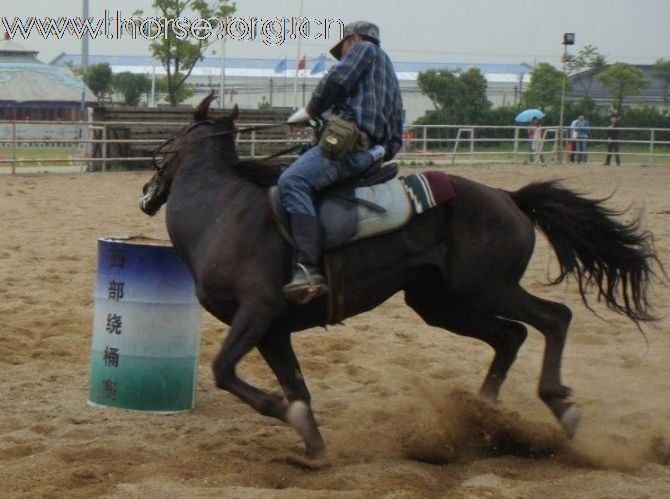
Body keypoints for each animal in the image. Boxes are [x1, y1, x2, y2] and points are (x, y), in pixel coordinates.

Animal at [140, 95, 660, 462]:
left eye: (171, 142)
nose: (147, 191)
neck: (222, 212)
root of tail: (508, 196)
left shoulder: (258, 312)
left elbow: (226, 371)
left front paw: (294, 423)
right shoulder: (274, 331)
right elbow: (297, 389)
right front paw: (314, 448)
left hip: (488, 287)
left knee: (554, 318)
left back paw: (558, 406)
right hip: (440, 302)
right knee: (510, 336)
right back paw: (484, 418)